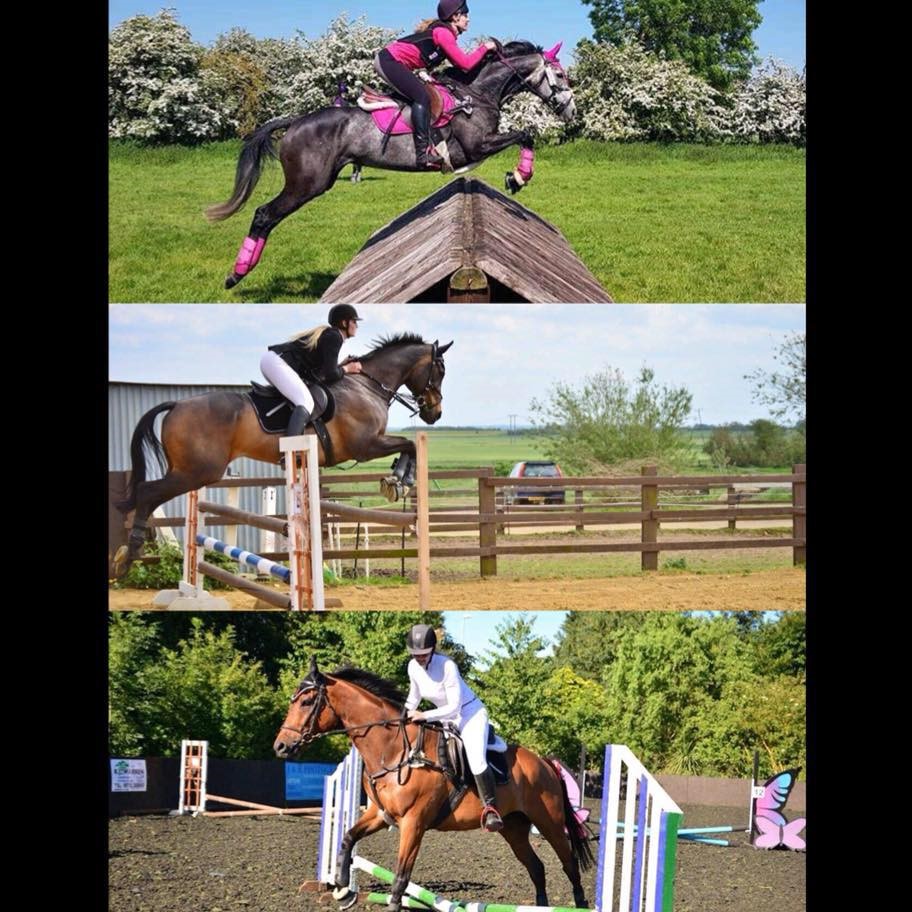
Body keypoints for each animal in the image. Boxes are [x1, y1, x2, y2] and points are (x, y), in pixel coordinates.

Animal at [114, 334, 448, 576]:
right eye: (440, 371)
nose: (435, 413)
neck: (366, 386)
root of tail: (177, 405)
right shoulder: (365, 446)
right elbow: (409, 444)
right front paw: (399, 481)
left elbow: (408, 445)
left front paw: (397, 480)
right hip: (197, 471)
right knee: (147, 492)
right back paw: (129, 557)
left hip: (186, 470)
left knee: (150, 495)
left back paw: (131, 553)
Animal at [210, 39, 572, 286]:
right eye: (559, 74)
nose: (571, 110)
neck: (476, 94)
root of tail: (296, 121)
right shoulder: (476, 146)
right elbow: (526, 134)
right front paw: (518, 177)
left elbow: (524, 135)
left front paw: (516, 178)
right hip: (306, 184)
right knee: (264, 214)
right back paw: (236, 274)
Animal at [274, 664, 596, 912]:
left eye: (306, 702)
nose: (281, 746)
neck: (394, 749)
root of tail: (544, 762)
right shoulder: (380, 815)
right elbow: (347, 838)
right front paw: (342, 890)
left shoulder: (413, 824)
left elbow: (401, 877)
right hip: (514, 828)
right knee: (537, 867)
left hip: (549, 822)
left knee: (569, 864)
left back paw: (580, 903)